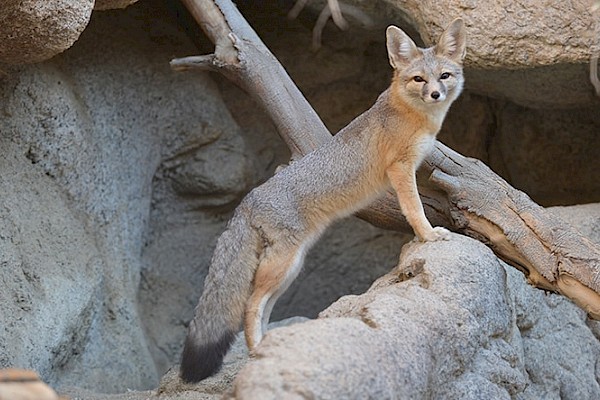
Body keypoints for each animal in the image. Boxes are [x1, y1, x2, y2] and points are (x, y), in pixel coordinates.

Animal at [180, 18, 466, 382]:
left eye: (444, 76)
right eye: (419, 79)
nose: (435, 94)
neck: (412, 115)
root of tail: (249, 198)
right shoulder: (401, 169)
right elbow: (414, 208)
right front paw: (428, 235)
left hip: (290, 268)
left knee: (262, 307)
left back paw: (270, 347)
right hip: (282, 265)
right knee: (249, 305)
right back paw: (258, 351)